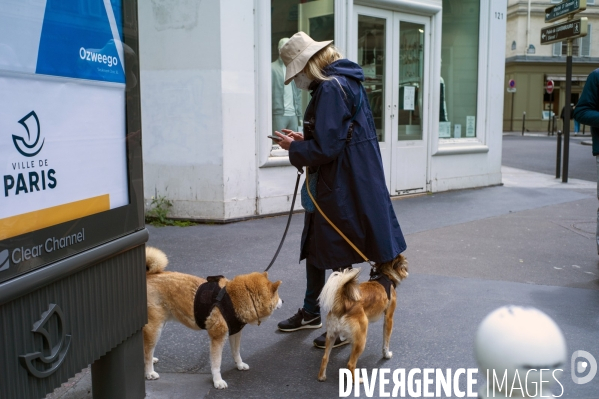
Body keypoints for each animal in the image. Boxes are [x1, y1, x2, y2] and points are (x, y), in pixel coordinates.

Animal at [144, 247, 284, 390]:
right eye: (277, 295)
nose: (283, 301)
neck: (234, 299)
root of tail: (149, 276)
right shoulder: (218, 337)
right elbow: (216, 364)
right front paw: (217, 381)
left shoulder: (235, 332)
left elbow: (236, 352)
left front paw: (239, 364)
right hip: (155, 327)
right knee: (147, 351)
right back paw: (149, 372)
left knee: (147, 348)